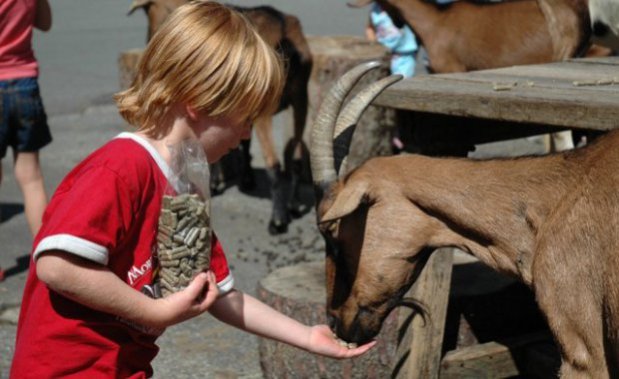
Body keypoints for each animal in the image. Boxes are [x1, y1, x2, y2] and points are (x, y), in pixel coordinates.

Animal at [130, 0, 314, 235]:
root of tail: (284, 33)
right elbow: (243, 142)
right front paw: (246, 179)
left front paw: (217, 183)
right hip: (300, 99)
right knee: (296, 154)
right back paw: (295, 205)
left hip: (268, 110)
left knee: (274, 163)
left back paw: (278, 220)